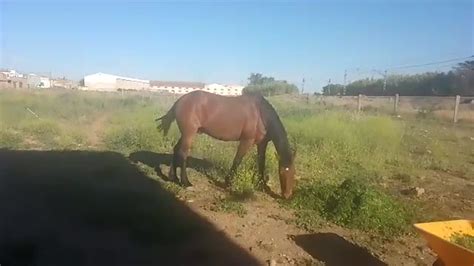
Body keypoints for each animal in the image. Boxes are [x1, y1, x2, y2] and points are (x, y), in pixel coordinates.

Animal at [156, 90, 296, 198]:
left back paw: (172, 177)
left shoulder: (261, 144)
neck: (260, 113)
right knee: (183, 153)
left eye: (294, 173)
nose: (287, 195)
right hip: (189, 133)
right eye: (282, 172)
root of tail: (179, 101)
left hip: (186, 134)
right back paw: (186, 182)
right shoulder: (246, 141)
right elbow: (237, 160)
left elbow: (261, 163)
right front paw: (228, 183)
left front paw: (261, 184)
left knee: (176, 149)